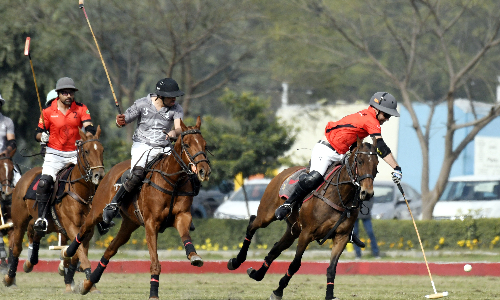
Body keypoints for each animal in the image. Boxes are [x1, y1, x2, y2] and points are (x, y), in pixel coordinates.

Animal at [2, 125, 105, 292]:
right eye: (86, 151)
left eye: (102, 150)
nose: (99, 175)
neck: (80, 192)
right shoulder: (71, 225)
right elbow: (80, 252)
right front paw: (88, 280)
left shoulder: (87, 230)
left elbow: (76, 253)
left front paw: (80, 279)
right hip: (19, 222)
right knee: (16, 247)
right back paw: (9, 278)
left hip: (46, 223)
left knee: (36, 234)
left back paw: (29, 263)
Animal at [62, 116, 211, 298]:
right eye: (187, 144)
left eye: (205, 145)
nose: (204, 171)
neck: (173, 181)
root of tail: (109, 172)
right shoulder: (151, 224)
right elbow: (155, 263)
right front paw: (153, 293)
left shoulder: (182, 216)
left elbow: (186, 236)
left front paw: (194, 256)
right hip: (97, 210)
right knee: (83, 229)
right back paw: (68, 252)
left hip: (129, 223)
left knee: (110, 250)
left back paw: (88, 284)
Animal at [229, 138, 376, 300]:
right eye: (360, 161)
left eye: (376, 165)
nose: (367, 193)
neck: (340, 196)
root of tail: (283, 172)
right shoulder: (307, 234)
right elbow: (295, 264)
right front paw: (278, 291)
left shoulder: (341, 236)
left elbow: (332, 268)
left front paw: (329, 295)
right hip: (268, 215)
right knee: (252, 224)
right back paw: (236, 261)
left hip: (293, 230)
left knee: (275, 249)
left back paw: (257, 274)